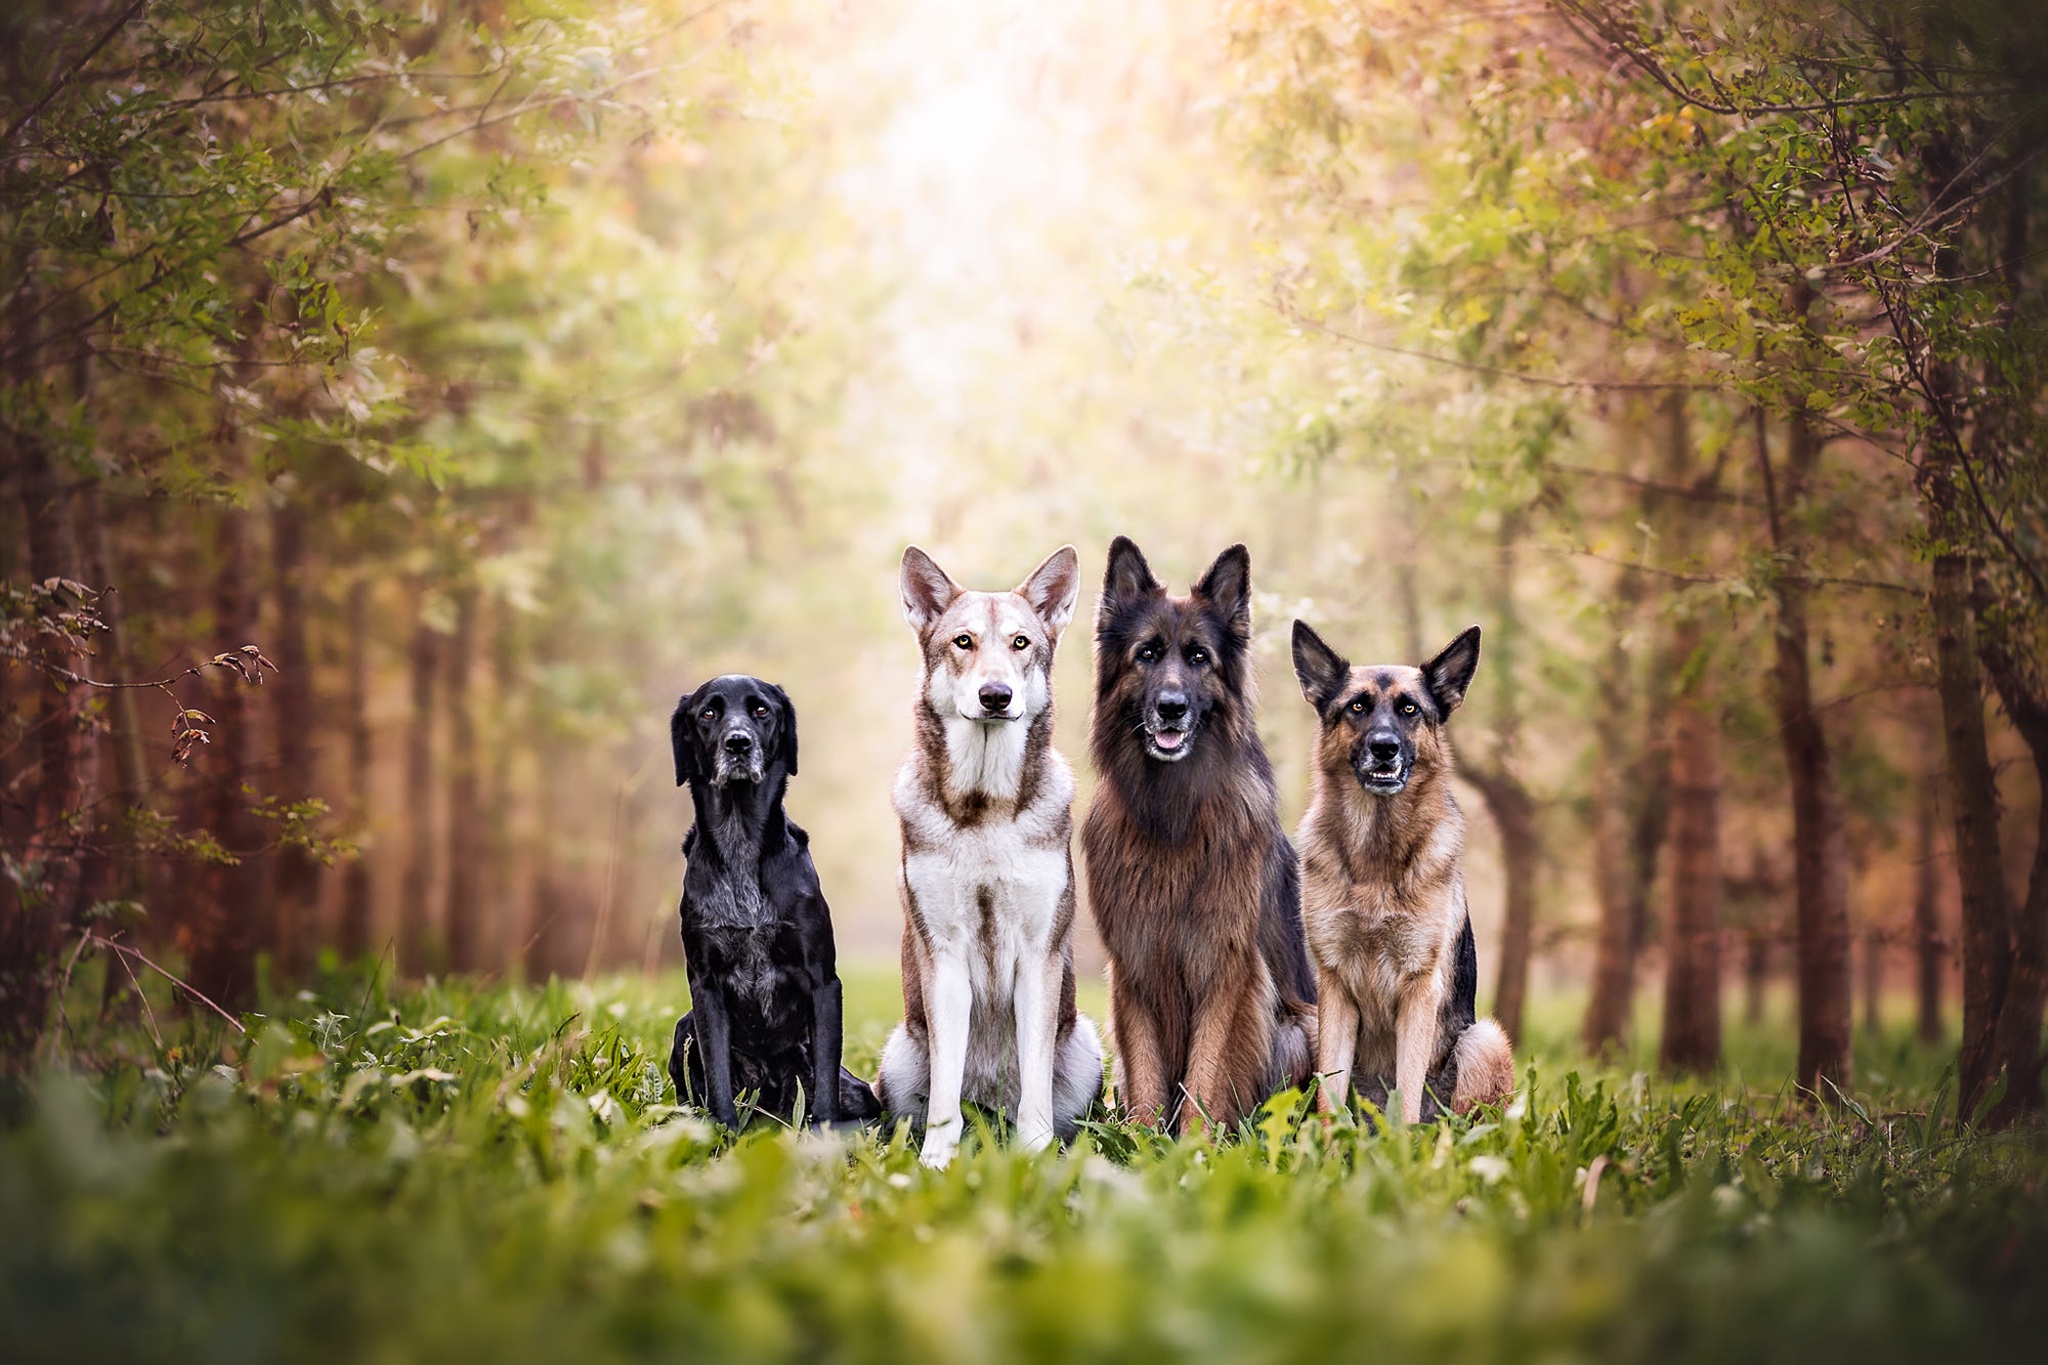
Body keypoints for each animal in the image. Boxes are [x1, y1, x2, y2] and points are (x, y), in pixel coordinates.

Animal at [663, 675, 872, 1129]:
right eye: (708, 713)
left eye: (761, 710)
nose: (738, 743)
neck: (740, 839)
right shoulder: (704, 985)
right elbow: (718, 1075)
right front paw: (722, 1131)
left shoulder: (823, 981)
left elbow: (825, 1080)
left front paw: (824, 1134)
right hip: (684, 1027)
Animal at [876, 548, 1105, 1170]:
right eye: (964, 642)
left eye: (1021, 643)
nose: (996, 695)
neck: (985, 811)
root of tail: (990, 1117)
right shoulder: (944, 957)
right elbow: (944, 1097)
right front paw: (937, 1163)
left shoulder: (1038, 956)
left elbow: (1035, 1091)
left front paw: (1034, 1159)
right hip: (899, 1052)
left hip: (1086, 1046)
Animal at [1081, 540, 1318, 1137]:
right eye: (1146, 654)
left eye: (1198, 658)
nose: (1171, 707)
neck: (1173, 815)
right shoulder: (1135, 963)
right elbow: (1145, 1070)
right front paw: (1142, 1142)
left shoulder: (1227, 968)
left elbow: (1207, 1071)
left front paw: (1193, 1144)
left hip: (1301, 1028)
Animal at [1294, 626, 1523, 1129]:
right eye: (1357, 707)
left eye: (1410, 709)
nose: (1385, 747)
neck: (1376, 857)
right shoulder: (1334, 989)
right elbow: (1330, 1098)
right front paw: (1325, 1145)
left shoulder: (1420, 989)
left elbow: (1409, 1089)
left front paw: (1398, 1149)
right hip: (1309, 1023)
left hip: (1483, 1040)